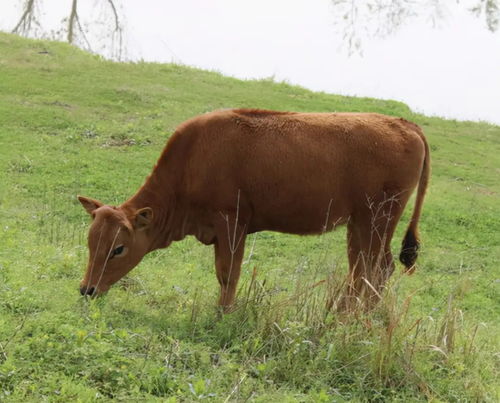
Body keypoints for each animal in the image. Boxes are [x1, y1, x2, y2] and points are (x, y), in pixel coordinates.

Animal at [78, 109, 430, 312]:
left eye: (118, 248)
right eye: (91, 242)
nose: (87, 289)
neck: (192, 161)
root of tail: (406, 125)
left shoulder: (232, 225)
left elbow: (228, 273)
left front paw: (223, 313)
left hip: (376, 222)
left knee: (374, 270)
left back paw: (349, 320)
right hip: (360, 225)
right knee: (364, 271)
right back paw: (338, 315)